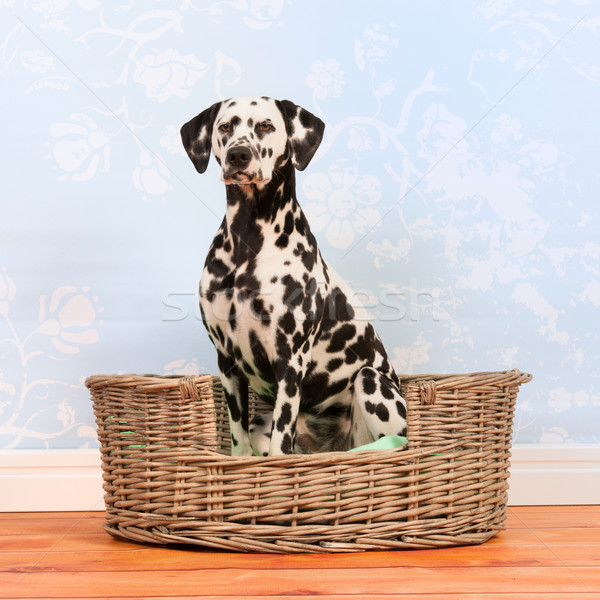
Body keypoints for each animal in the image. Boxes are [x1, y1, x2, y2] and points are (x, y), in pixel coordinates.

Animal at [182, 97, 408, 454]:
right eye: (225, 126)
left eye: (266, 125)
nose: (238, 155)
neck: (249, 241)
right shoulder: (226, 362)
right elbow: (237, 435)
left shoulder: (290, 360)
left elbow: (281, 438)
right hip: (261, 423)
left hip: (370, 381)